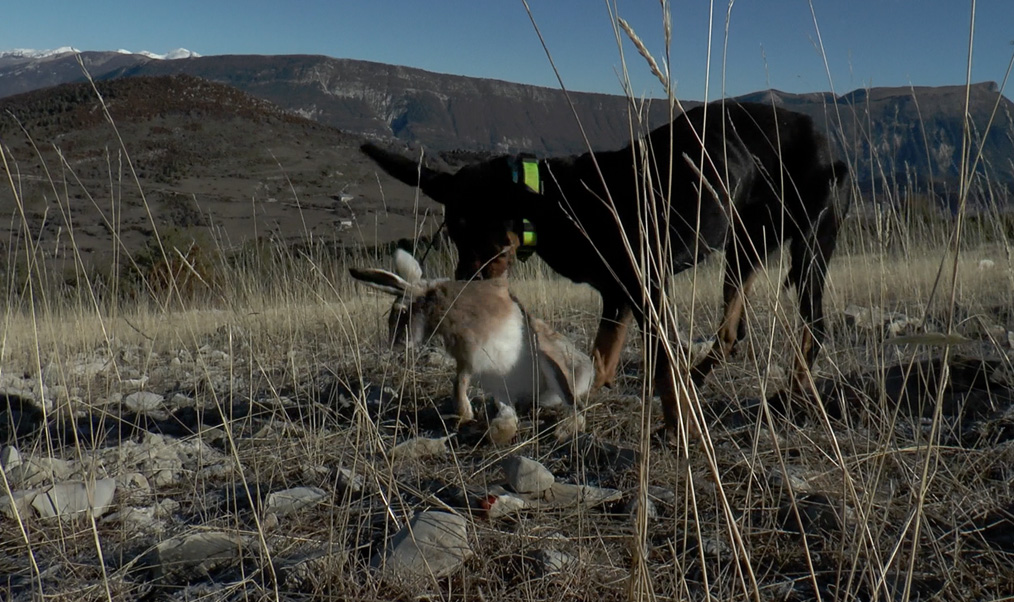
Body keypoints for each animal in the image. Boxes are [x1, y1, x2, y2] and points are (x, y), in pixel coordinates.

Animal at [360, 100, 851, 437]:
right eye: (454, 235)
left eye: (480, 233)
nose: (465, 292)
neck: (557, 200)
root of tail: (828, 144)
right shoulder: (618, 297)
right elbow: (598, 359)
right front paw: (577, 403)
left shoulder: (648, 289)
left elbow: (660, 366)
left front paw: (679, 430)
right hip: (745, 244)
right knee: (732, 330)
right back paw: (702, 376)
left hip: (810, 245)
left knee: (814, 325)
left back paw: (788, 394)